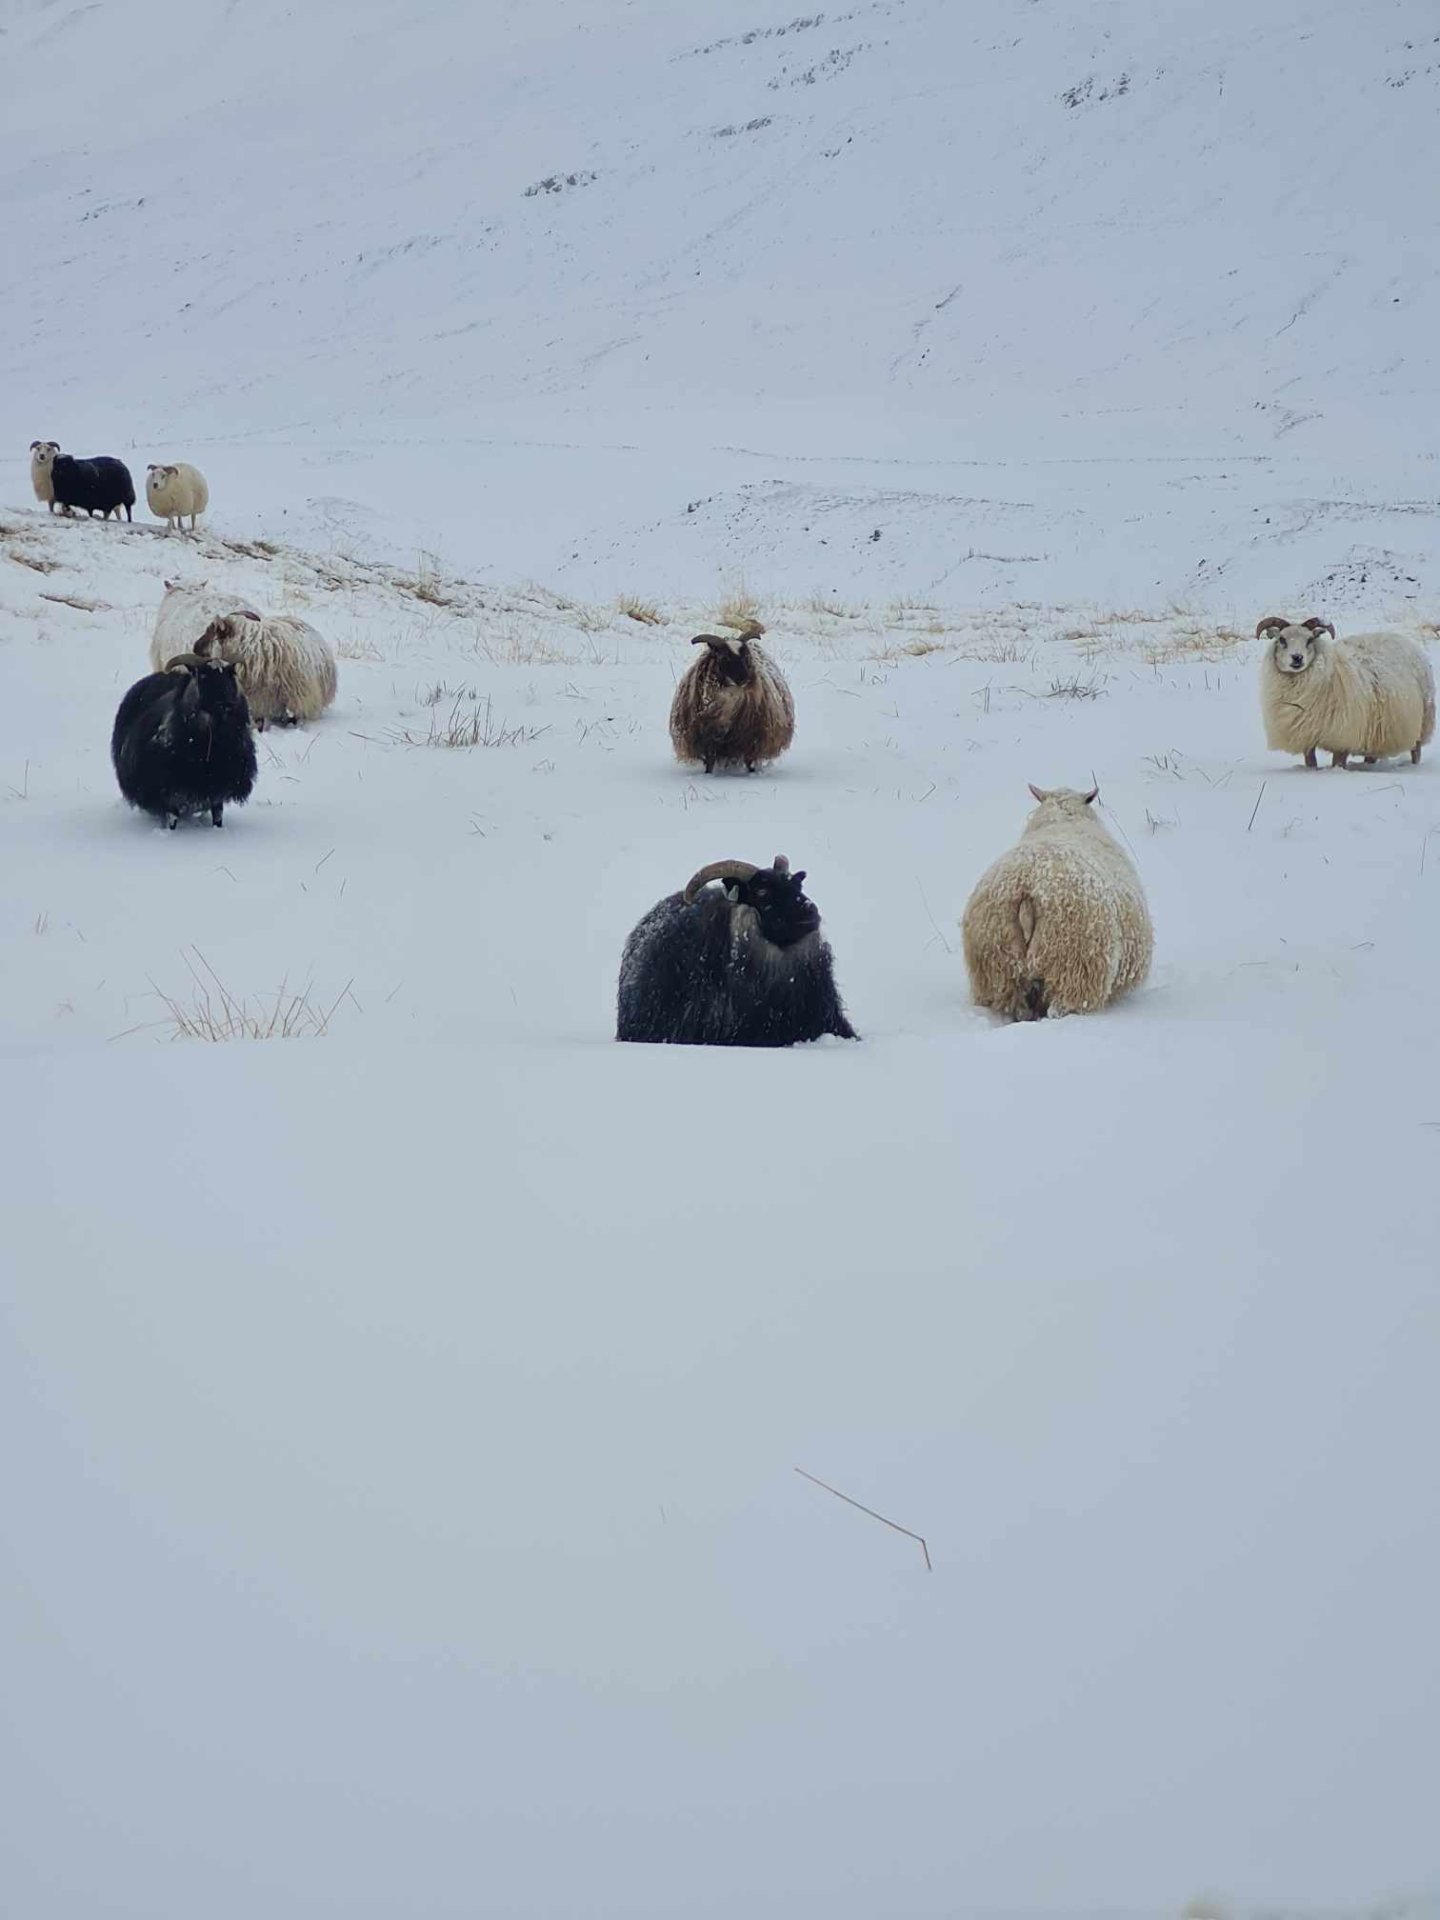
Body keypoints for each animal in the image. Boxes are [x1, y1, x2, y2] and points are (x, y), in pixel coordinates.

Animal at [668, 610, 794, 768]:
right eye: (724, 658)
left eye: (746, 657)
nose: (744, 678)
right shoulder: (708, 741)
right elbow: (709, 764)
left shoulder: (751, 741)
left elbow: (749, 762)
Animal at [963, 779, 1159, 1021]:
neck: (1063, 818)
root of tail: (1027, 887)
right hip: (1074, 967)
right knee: (1061, 1007)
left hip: (997, 967)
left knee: (1015, 1006)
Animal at [1259, 610, 1436, 768]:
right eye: (1282, 640)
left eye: (1309, 640)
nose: (1297, 658)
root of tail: (1405, 640)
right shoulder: (1306, 735)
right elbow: (1310, 762)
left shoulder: (1342, 736)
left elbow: (1338, 762)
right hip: (1377, 730)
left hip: (1421, 722)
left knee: (1416, 751)